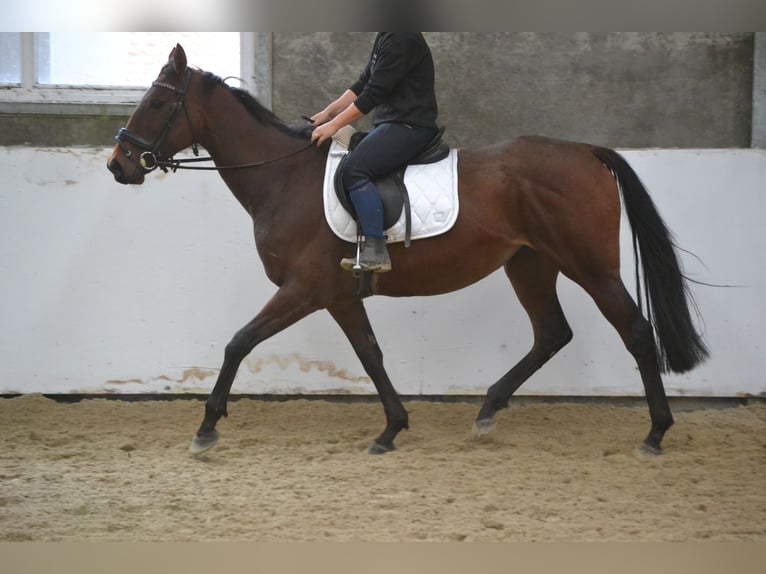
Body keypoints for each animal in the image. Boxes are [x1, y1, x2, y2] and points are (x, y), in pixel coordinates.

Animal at [106, 44, 708, 460]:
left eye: (156, 101)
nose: (118, 164)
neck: (283, 178)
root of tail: (585, 151)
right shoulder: (339, 295)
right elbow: (370, 355)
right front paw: (391, 429)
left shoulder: (304, 289)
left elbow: (238, 343)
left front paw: (206, 428)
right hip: (530, 264)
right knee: (552, 334)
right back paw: (486, 412)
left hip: (591, 266)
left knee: (636, 332)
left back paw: (655, 433)